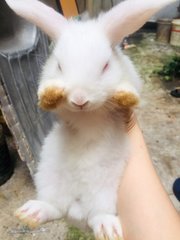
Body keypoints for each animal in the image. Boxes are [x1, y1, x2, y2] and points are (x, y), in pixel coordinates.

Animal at [5, 0, 176, 238]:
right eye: (59, 66)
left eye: (105, 66)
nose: (79, 99)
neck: (87, 115)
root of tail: (76, 208)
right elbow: (49, 96)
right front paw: (51, 93)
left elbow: (129, 90)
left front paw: (124, 95)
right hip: (49, 176)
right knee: (54, 207)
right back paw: (31, 213)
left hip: (106, 191)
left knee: (97, 215)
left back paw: (108, 229)